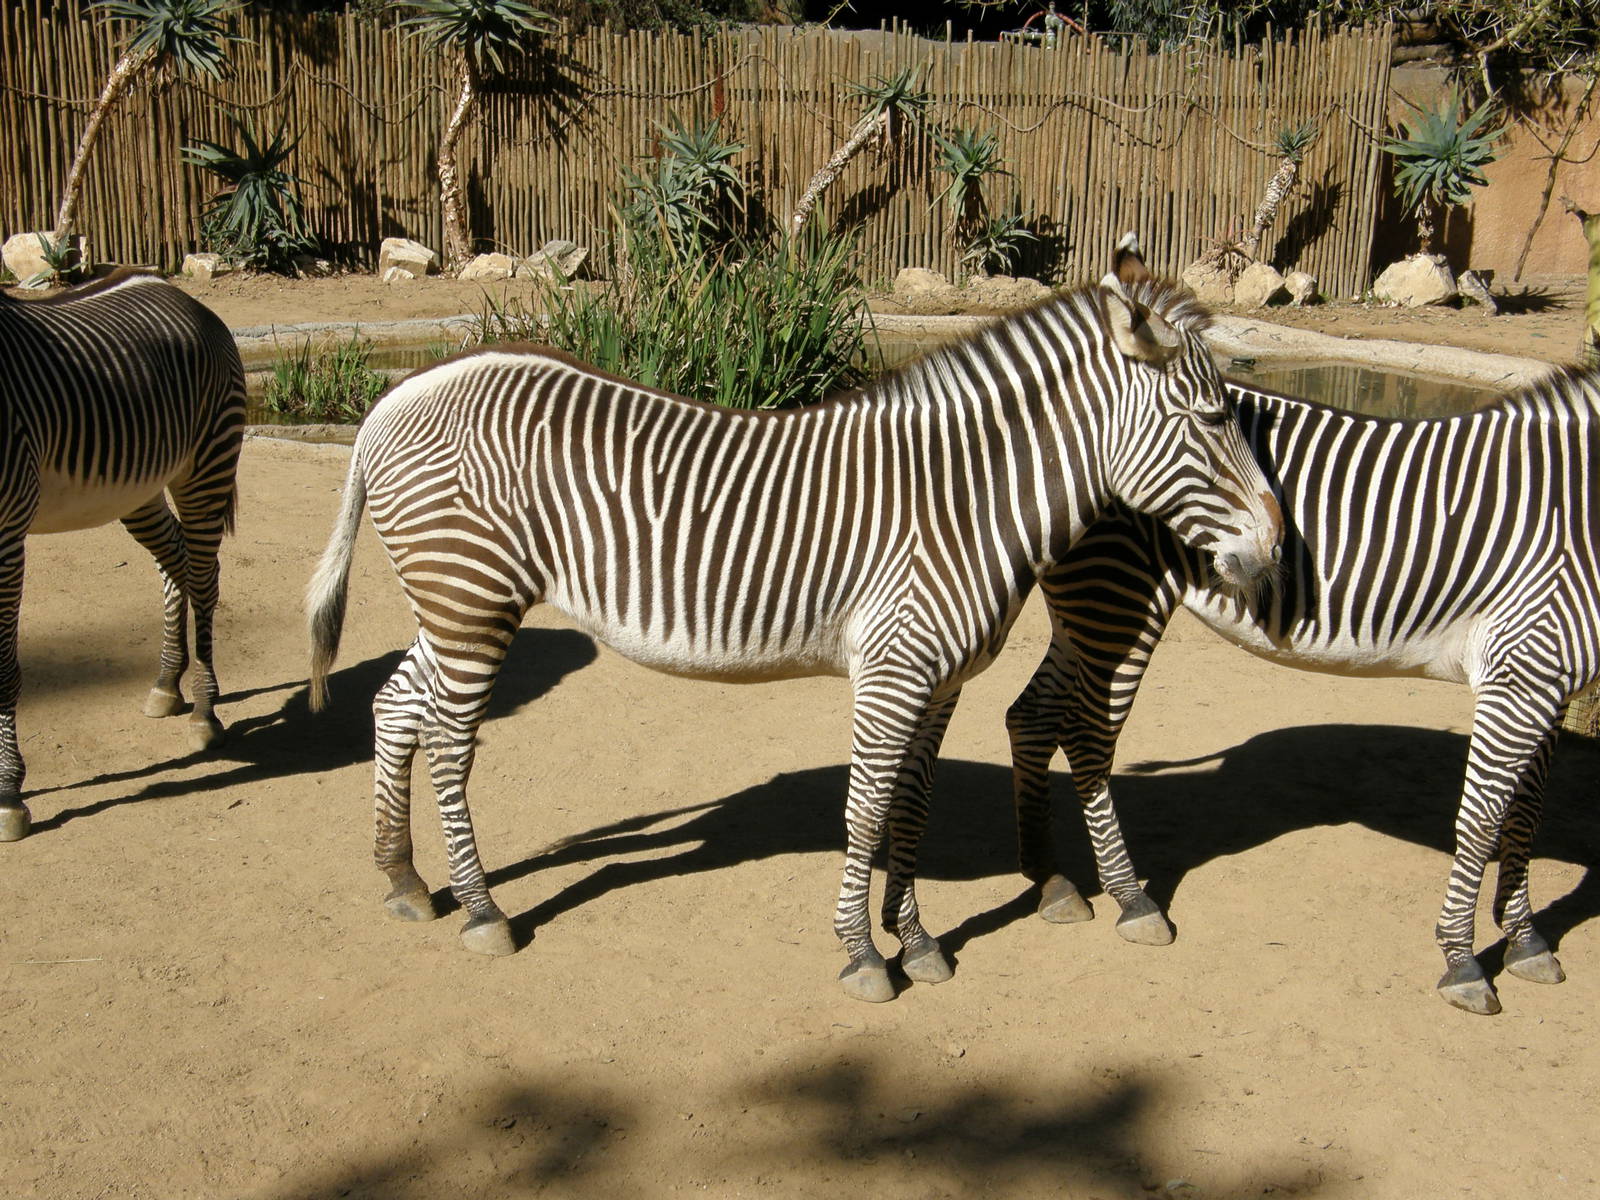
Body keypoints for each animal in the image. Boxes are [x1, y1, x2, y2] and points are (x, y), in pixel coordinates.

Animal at [0, 269, 245, 842]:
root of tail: (166, 284)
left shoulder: (7, 534)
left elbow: (2, 668)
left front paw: (8, 794)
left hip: (206, 464)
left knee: (204, 577)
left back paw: (205, 710)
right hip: (139, 488)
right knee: (176, 562)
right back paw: (167, 683)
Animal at [304, 249, 1283, 1003]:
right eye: (1212, 419)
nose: (1276, 548)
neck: (962, 504)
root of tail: (394, 396)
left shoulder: (940, 682)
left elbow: (912, 806)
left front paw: (916, 941)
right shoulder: (892, 672)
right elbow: (865, 809)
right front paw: (862, 956)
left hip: (455, 603)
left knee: (395, 705)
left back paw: (403, 878)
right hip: (471, 599)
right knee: (447, 739)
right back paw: (481, 910)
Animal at [1006, 365, 1600, 1015]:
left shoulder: (1553, 682)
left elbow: (1528, 811)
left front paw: (1524, 938)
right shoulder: (1522, 668)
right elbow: (1483, 820)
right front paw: (1462, 960)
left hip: (1085, 606)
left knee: (1030, 715)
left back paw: (1049, 878)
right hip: (1117, 595)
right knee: (1087, 739)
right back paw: (1129, 899)